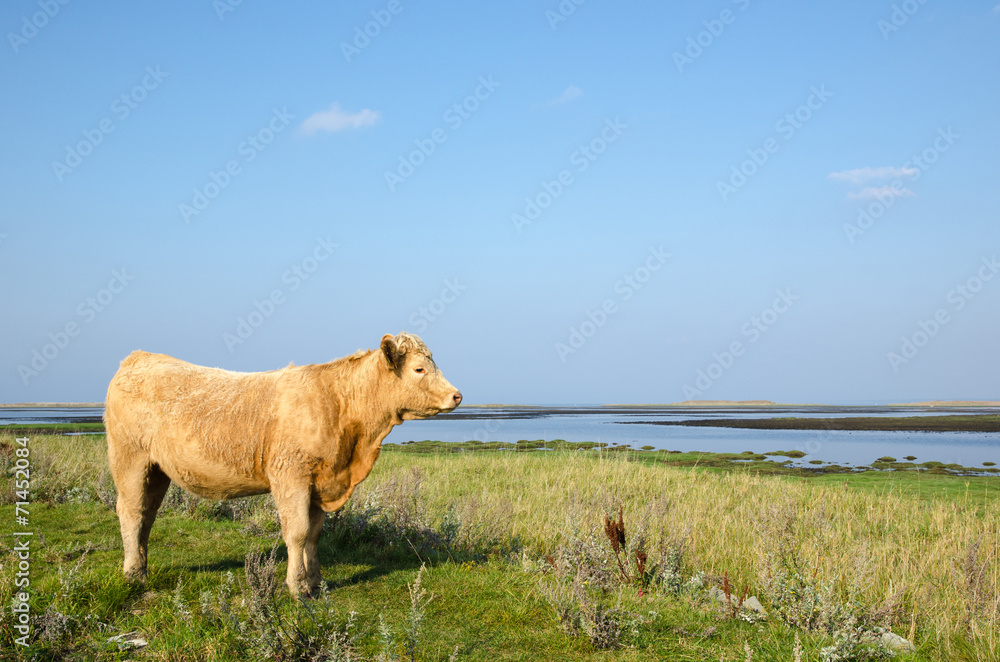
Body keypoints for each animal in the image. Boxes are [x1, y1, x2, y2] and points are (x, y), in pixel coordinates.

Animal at [104, 332, 461, 596]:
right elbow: (297, 532)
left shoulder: (321, 481)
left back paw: (143, 566)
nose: (457, 395)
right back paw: (133, 574)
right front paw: (297, 586)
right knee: (131, 512)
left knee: (147, 515)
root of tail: (138, 357)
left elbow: (314, 534)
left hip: (157, 469)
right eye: (419, 369)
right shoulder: (291, 475)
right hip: (129, 457)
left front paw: (316, 581)